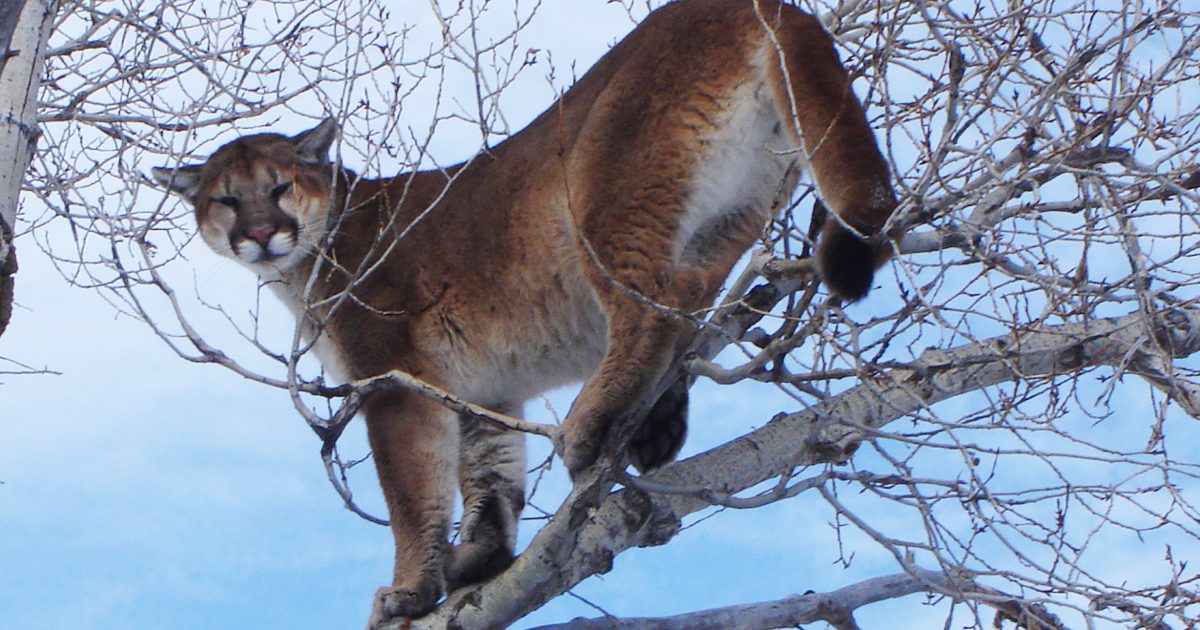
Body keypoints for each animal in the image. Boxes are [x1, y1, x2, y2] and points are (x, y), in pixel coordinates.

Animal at [152, 0, 902, 619]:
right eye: (225, 200)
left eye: (279, 187)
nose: (257, 233)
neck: (313, 257)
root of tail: (755, 2)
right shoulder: (483, 389)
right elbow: (488, 475)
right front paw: (479, 560)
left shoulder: (394, 382)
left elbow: (412, 494)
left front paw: (410, 590)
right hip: (742, 204)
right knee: (692, 296)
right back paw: (656, 422)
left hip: (604, 187)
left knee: (654, 305)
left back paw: (590, 423)